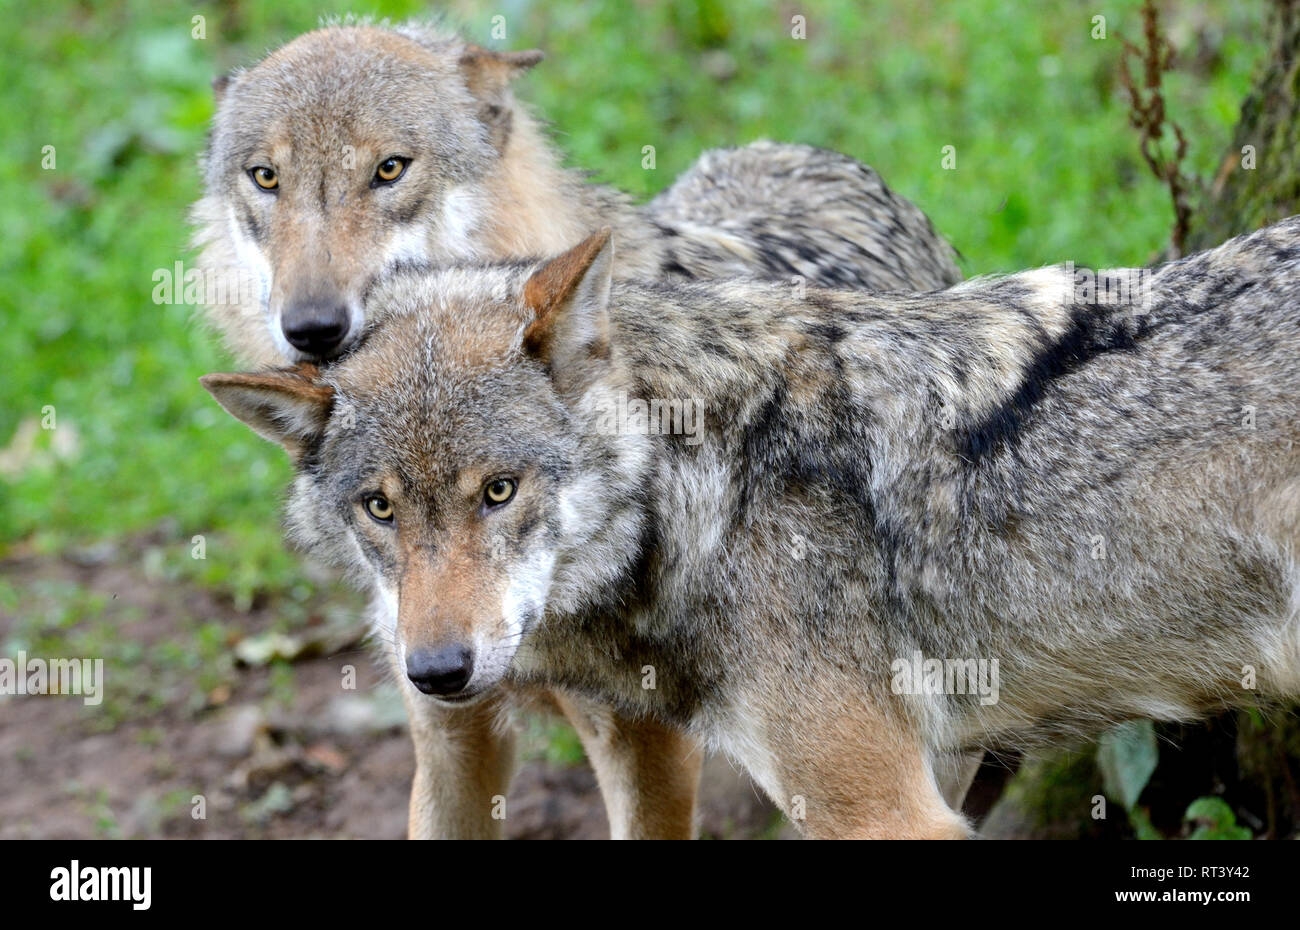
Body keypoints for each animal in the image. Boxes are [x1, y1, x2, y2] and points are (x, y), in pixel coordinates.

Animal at [192, 21, 967, 842]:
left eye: (389, 170)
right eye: (266, 177)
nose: (311, 327)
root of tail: (799, 150)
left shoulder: (643, 740)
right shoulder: (447, 732)